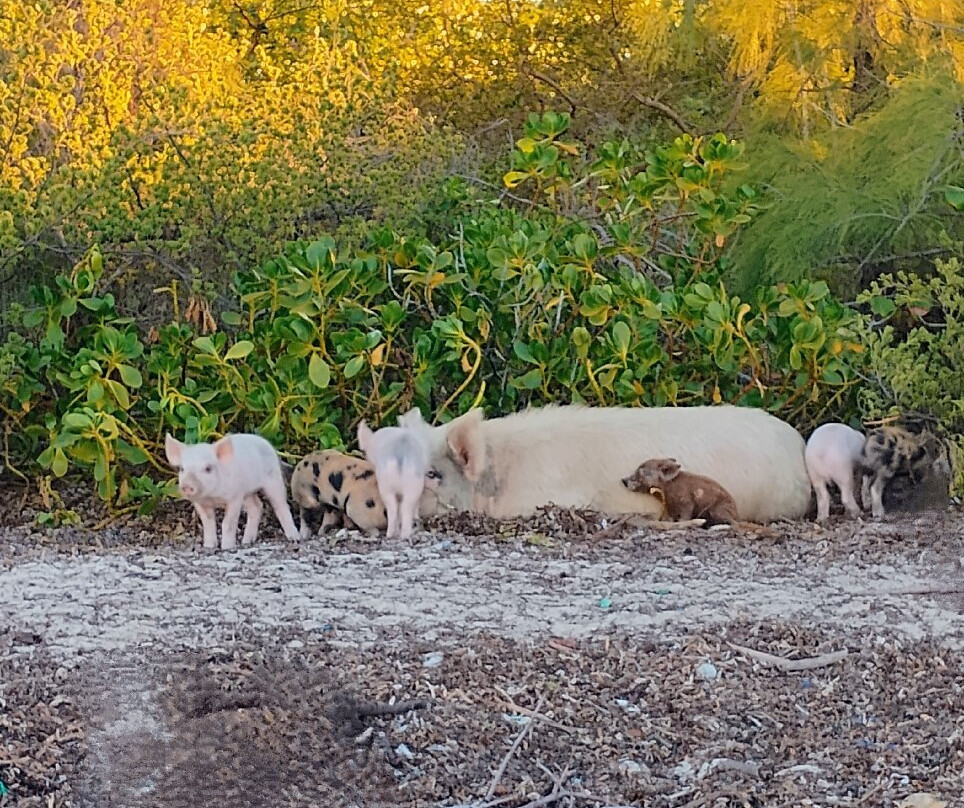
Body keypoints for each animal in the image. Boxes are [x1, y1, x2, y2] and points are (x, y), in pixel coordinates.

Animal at [165, 433, 299, 550]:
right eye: (182, 469)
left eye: (208, 468)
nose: (187, 486)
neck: (212, 497)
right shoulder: (201, 503)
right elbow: (208, 523)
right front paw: (209, 546)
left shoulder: (235, 497)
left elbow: (228, 523)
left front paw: (226, 547)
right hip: (247, 493)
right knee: (257, 506)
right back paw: (246, 542)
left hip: (273, 479)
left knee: (281, 505)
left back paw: (294, 538)